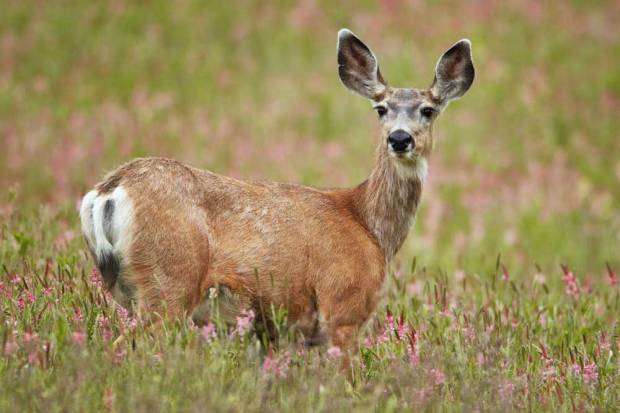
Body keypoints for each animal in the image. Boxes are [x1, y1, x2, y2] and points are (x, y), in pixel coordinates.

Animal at [79, 29, 474, 360]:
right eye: (381, 109)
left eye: (428, 110)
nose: (399, 138)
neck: (369, 224)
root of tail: (108, 190)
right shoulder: (344, 304)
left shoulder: (275, 331)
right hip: (170, 280)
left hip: (129, 289)